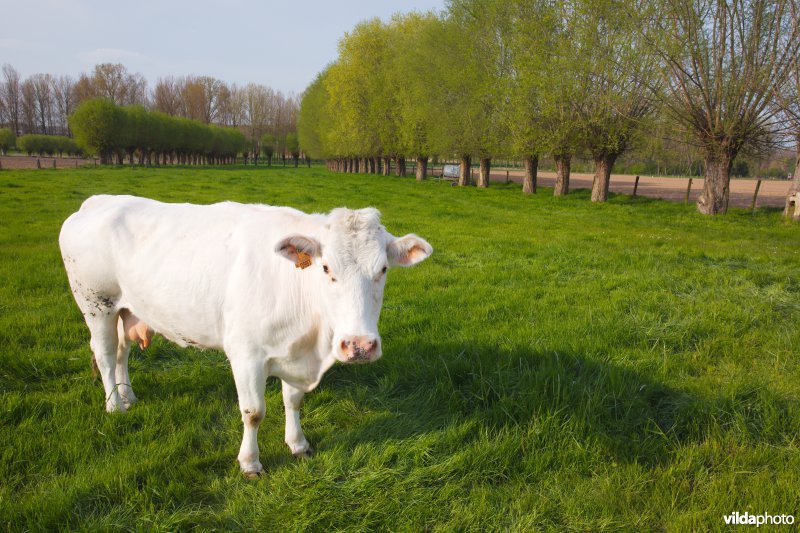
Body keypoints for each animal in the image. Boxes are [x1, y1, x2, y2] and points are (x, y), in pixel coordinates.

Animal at [59, 195, 432, 477]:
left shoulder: (294, 353)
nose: (359, 345)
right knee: (106, 355)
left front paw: (298, 444)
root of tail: (100, 200)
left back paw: (128, 396)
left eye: (382, 269)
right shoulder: (245, 354)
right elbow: (254, 412)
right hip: (97, 306)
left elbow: (293, 401)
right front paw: (250, 463)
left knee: (122, 352)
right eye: (326, 268)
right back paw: (114, 406)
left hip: (126, 309)